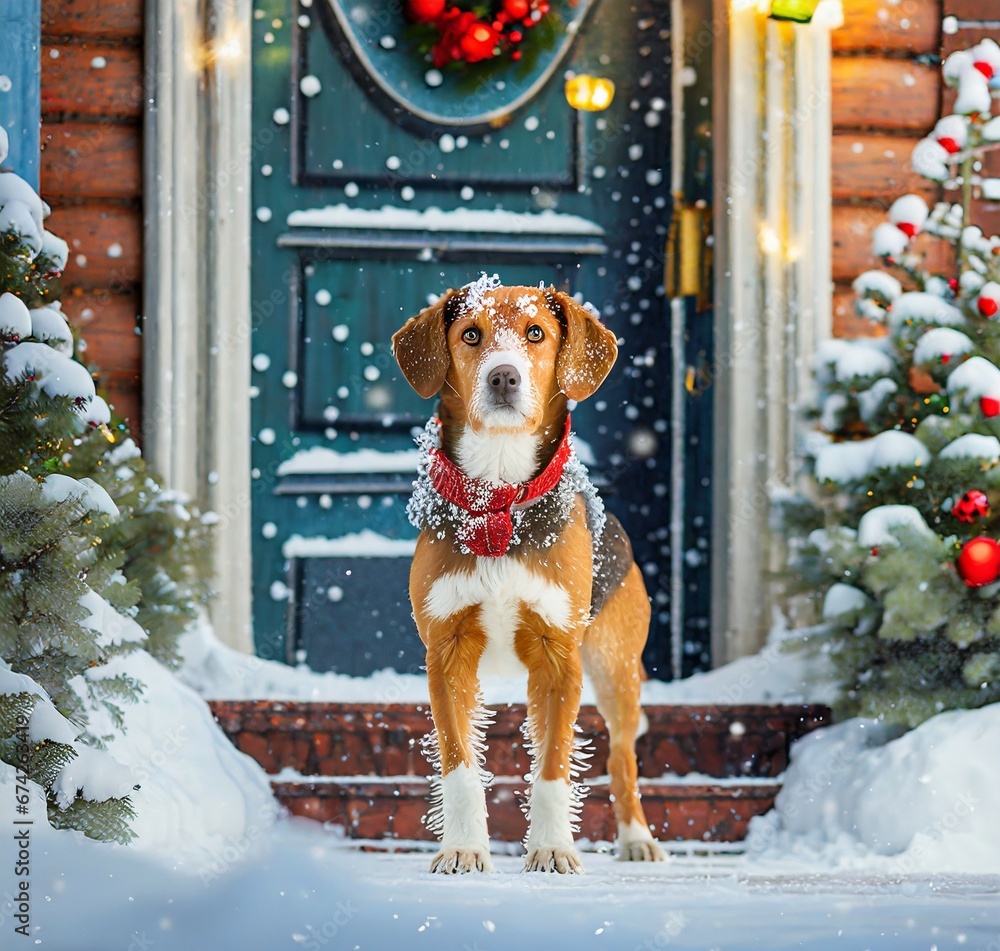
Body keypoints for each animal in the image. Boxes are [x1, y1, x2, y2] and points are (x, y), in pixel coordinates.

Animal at [392, 278, 664, 872]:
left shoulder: (559, 656)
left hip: (615, 668)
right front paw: (464, 848)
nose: (503, 377)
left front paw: (552, 849)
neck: (498, 496)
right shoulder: (446, 653)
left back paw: (636, 838)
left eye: (536, 333)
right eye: (471, 335)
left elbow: (554, 768)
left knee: (623, 760)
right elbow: (460, 766)